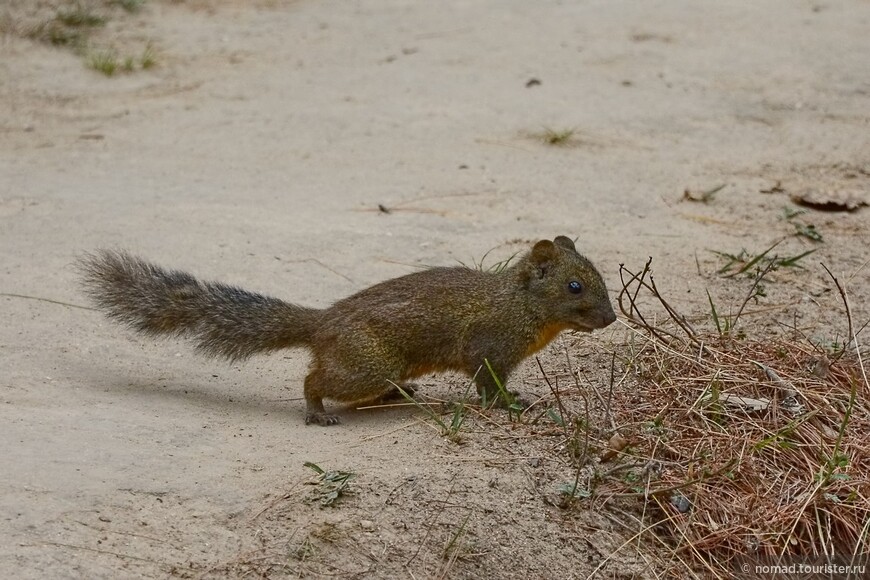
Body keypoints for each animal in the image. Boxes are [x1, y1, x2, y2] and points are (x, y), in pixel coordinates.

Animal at [78, 237, 616, 426]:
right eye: (574, 286)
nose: (611, 319)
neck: (521, 308)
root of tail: (323, 324)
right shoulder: (489, 348)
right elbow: (488, 386)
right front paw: (511, 405)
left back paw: (401, 393)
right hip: (367, 364)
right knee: (313, 379)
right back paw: (318, 413)